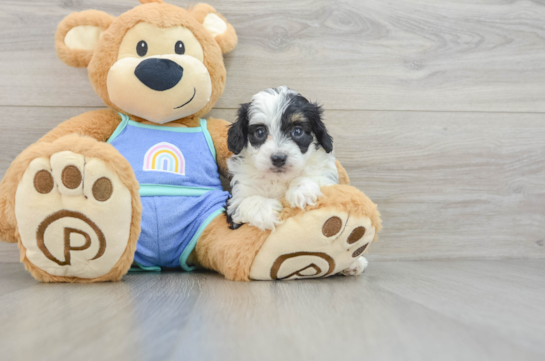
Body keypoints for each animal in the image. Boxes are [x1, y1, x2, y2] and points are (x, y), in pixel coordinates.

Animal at [224, 86, 336, 229]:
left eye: (297, 131)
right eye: (260, 132)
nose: (278, 158)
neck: (278, 178)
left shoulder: (327, 178)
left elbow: (314, 177)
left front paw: (301, 189)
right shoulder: (234, 202)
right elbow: (246, 202)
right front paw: (265, 210)